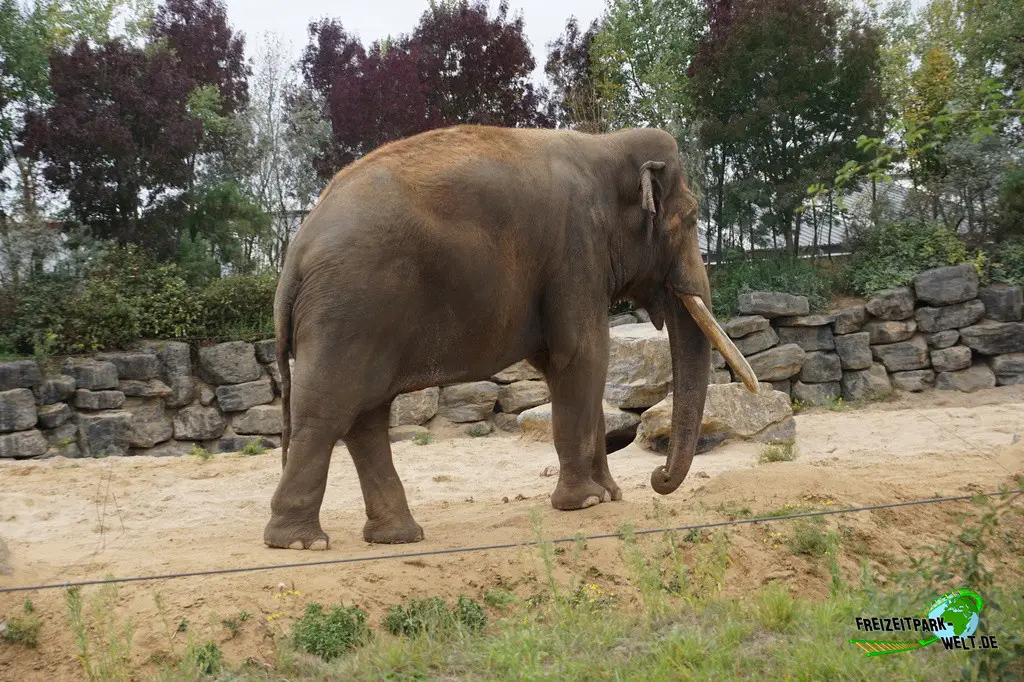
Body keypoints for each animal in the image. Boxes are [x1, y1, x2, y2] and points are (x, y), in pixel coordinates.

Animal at [265, 124, 757, 550]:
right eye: (690, 220)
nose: (657, 478)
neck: (604, 145)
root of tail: (296, 251)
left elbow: (567, 366)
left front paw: (610, 495)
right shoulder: (575, 252)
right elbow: (584, 356)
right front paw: (586, 502)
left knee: (366, 417)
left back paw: (398, 536)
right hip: (349, 310)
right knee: (330, 410)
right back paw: (301, 542)